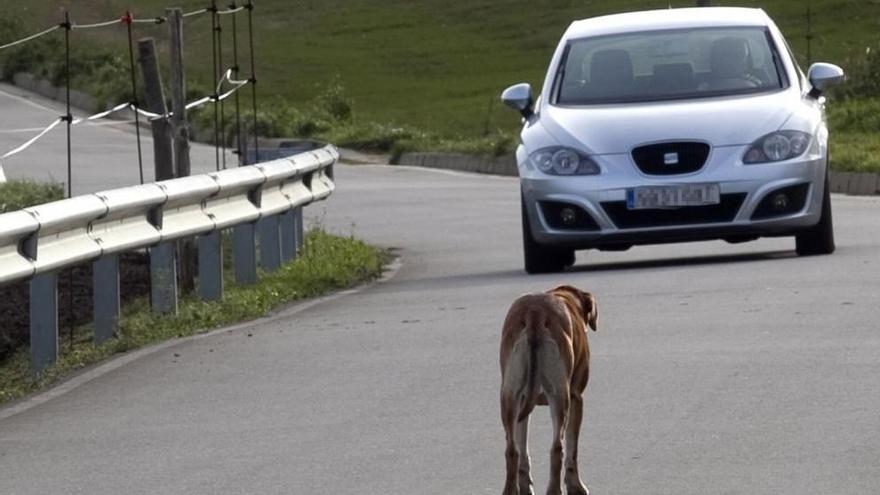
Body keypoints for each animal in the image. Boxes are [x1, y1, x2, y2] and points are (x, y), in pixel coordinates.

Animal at [498, 286, 596, 495]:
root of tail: (535, 313)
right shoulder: (576, 398)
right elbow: (572, 448)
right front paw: (576, 485)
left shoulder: (523, 401)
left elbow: (523, 447)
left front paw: (525, 484)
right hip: (560, 398)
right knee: (557, 448)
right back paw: (554, 489)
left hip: (509, 396)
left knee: (512, 449)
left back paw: (511, 489)